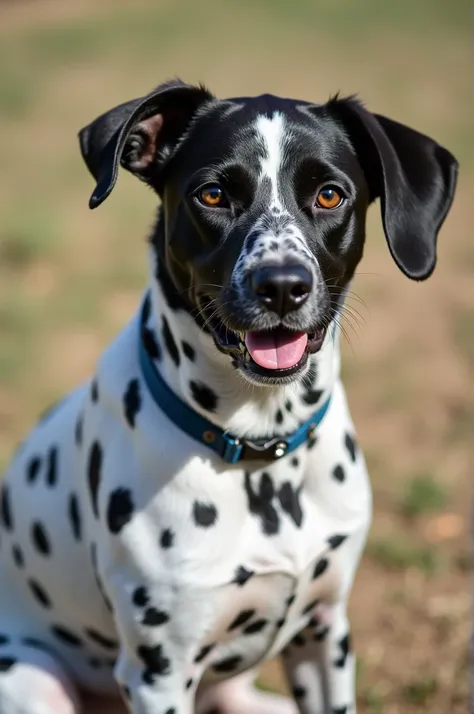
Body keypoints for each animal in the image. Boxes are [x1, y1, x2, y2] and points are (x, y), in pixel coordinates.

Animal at [0, 78, 458, 712]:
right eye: (213, 194)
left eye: (330, 195)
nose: (283, 285)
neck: (262, 448)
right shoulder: (159, 673)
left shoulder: (325, 635)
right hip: (32, 677)